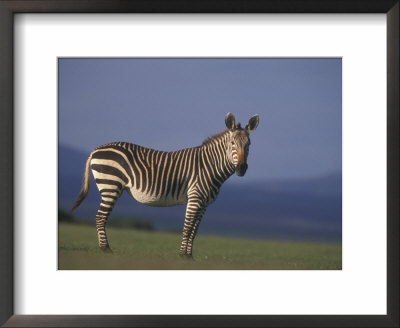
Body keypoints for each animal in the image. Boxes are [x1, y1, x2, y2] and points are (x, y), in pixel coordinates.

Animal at [72, 113, 260, 258]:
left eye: (248, 145)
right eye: (232, 144)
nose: (241, 168)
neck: (211, 166)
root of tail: (96, 149)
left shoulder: (204, 203)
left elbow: (195, 231)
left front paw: (190, 257)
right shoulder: (195, 197)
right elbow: (187, 228)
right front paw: (183, 256)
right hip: (110, 185)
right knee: (100, 217)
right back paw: (106, 249)